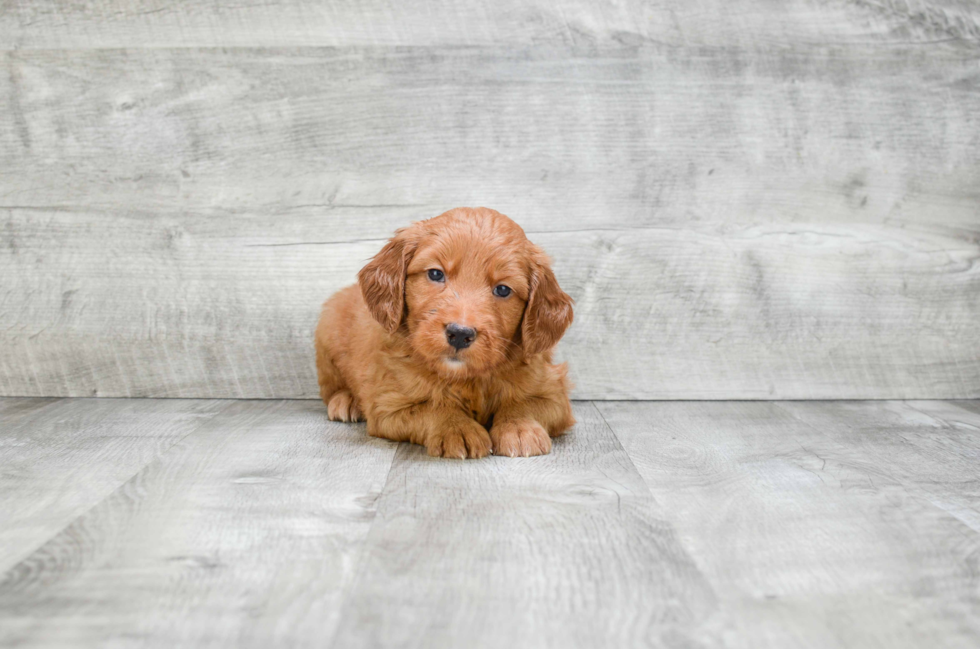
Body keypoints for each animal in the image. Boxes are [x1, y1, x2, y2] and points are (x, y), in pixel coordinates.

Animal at [314, 206, 576, 456]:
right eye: (435, 273)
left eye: (503, 289)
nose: (459, 334)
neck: (467, 378)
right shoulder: (389, 405)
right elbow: (433, 407)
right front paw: (457, 428)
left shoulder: (553, 391)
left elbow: (522, 403)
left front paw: (519, 428)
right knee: (331, 387)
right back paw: (346, 401)